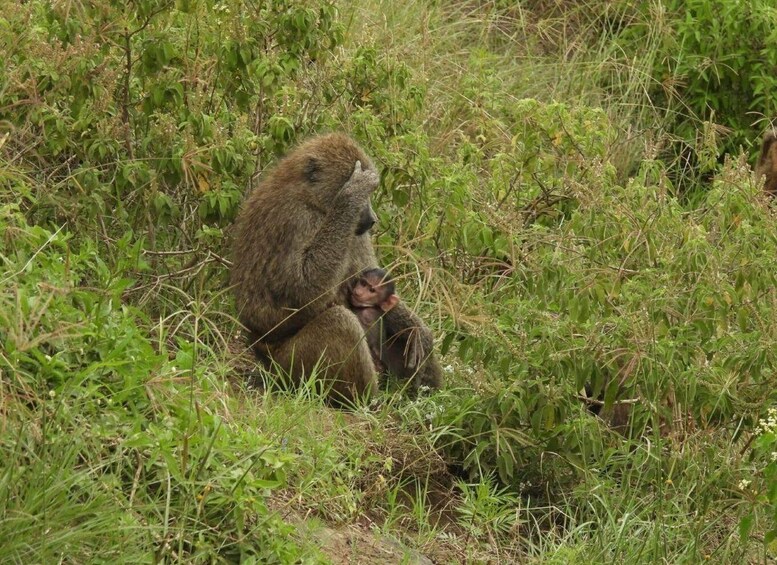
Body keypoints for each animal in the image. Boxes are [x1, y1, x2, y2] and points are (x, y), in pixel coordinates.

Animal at [230, 133, 443, 405]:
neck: (313, 201)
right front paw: (351, 194)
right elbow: (300, 295)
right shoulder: (295, 219)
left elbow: (372, 278)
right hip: (289, 367)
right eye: (365, 194)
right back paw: (368, 401)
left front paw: (418, 331)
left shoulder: (353, 232)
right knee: (340, 322)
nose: (372, 220)